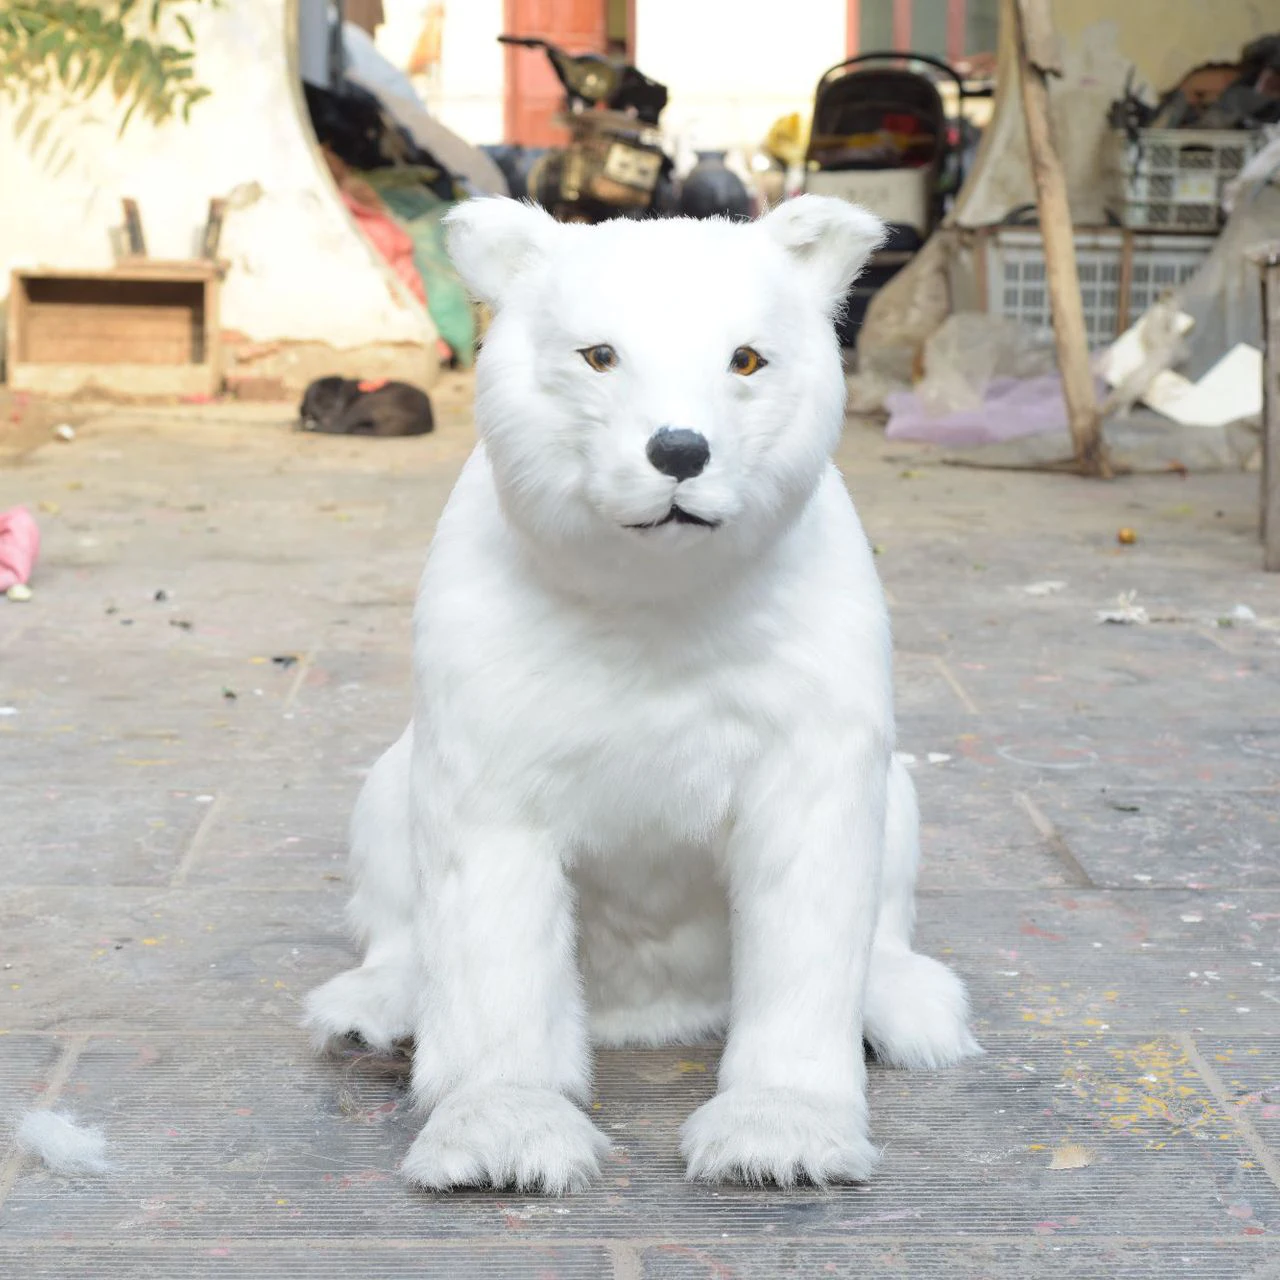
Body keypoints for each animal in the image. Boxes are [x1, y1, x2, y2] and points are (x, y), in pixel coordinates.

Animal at [303, 194, 980, 1194]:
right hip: (394, 776)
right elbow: (491, 939)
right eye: (599, 356)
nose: (679, 450)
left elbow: (810, 915)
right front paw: (501, 1133)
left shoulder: (814, 738)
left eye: (746, 359)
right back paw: (377, 1010)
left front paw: (782, 1132)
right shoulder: (485, 745)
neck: (653, 605)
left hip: (896, 790)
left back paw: (908, 1009)